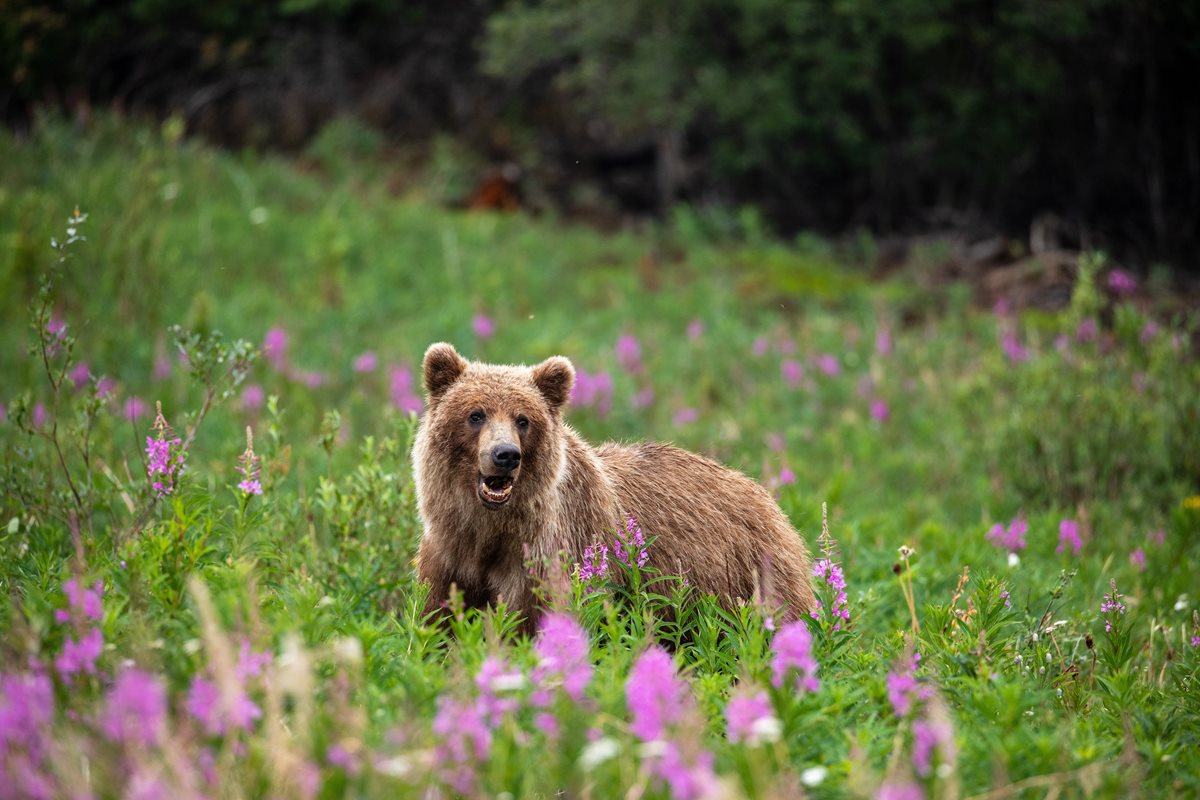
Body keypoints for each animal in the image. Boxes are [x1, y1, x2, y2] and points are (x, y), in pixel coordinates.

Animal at [412, 342, 816, 631]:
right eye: (475, 414)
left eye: (523, 419)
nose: (505, 454)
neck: (490, 529)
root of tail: (767, 498)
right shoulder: (450, 554)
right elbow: (439, 620)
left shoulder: (549, 554)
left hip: (751, 575)